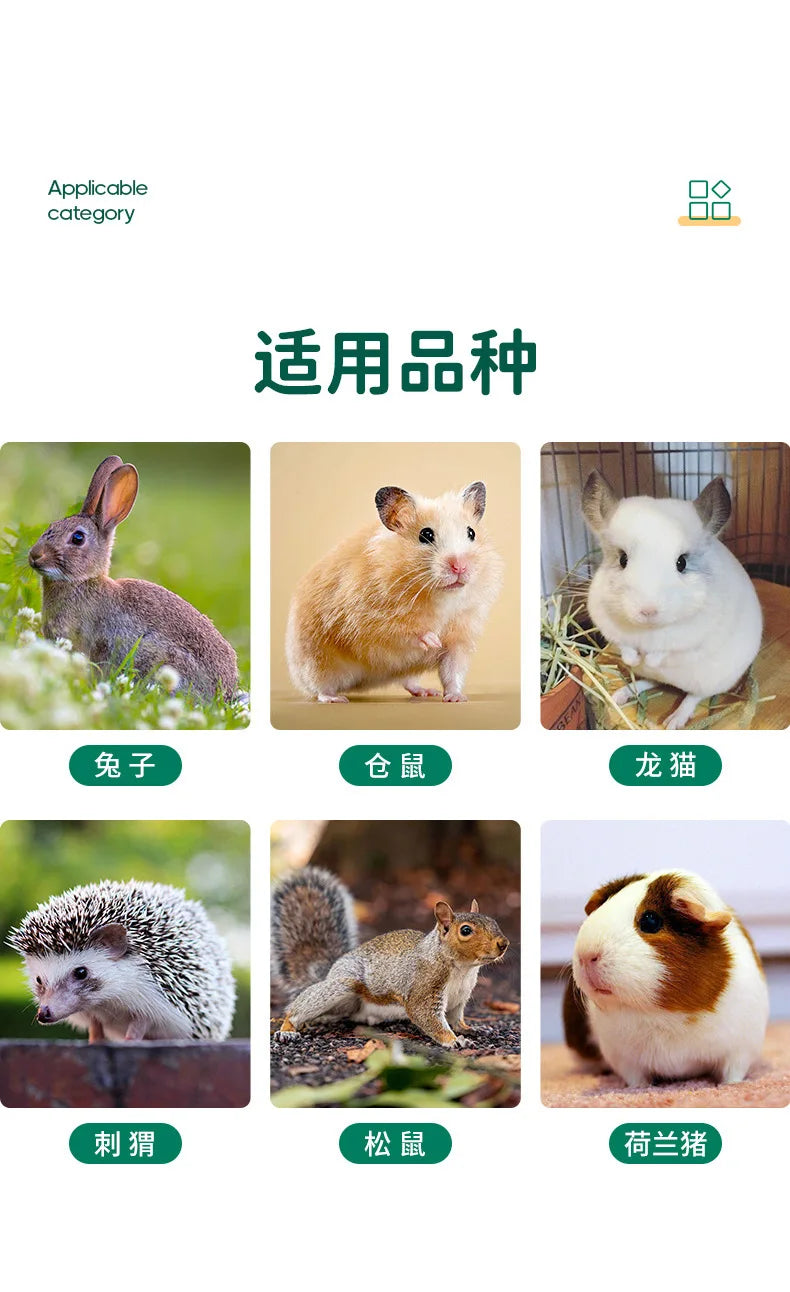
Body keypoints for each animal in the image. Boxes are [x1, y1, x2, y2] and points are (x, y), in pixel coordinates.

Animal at [286, 481, 503, 702]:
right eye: (426, 534)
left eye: (471, 533)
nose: (460, 566)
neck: (441, 596)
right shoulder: (368, 620)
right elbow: (402, 633)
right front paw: (432, 640)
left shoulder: (459, 639)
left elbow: (452, 671)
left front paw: (456, 698)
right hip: (317, 661)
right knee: (319, 687)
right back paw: (335, 698)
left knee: (408, 681)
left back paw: (425, 691)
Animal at [563, 870, 768, 1087]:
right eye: (602, 907)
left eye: (650, 921)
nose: (586, 956)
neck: (662, 1014)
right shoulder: (624, 1059)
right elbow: (636, 1080)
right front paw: (640, 1089)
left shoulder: (740, 1050)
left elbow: (732, 1073)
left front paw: (729, 1086)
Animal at [581, 470, 763, 729]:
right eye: (623, 559)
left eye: (682, 562)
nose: (648, 611)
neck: (648, 631)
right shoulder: (609, 625)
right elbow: (626, 646)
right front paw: (634, 659)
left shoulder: (688, 636)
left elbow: (666, 650)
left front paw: (650, 658)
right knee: (653, 682)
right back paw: (622, 693)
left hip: (708, 681)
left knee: (692, 696)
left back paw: (674, 720)